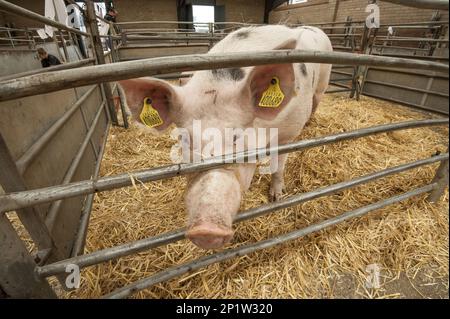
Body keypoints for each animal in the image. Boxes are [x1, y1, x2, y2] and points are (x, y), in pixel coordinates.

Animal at [118, 24, 332, 250]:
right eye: (185, 139)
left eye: (236, 137)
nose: (205, 229)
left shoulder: (287, 134)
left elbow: (278, 167)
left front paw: (276, 197)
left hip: (322, 83)